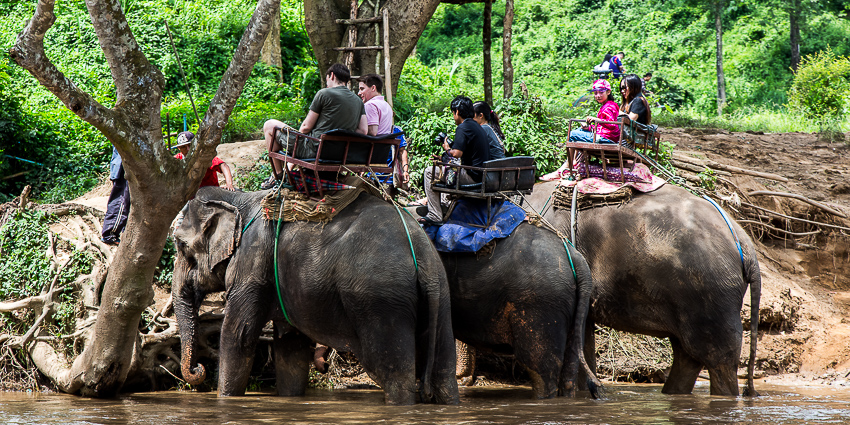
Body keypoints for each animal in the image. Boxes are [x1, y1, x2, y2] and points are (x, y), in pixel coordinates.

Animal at [172, 187, 459, 405]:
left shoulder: (251, 268)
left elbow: (238, 337)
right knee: (444, 372)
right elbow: (290, 347)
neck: (236, 198)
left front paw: (226, 401)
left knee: (391, 372)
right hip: (440, 296)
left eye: (181, 246)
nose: (198, 369)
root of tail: (423, 253)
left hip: (381, 300)